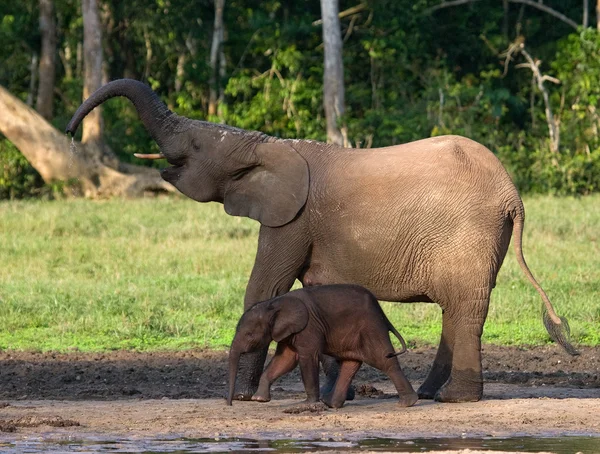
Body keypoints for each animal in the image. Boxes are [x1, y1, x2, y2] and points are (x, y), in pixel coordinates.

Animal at [225, 284, 418, 408]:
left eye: (249, 335)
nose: (230, 404)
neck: (273, 303)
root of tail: (382, 312)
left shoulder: (309, 327)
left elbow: (306, 358)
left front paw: (308, 404)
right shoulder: (290, 332)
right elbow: (285, 360)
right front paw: (259, 399)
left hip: (371, 328)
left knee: (384, 360)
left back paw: (406, 403)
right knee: (350, 364)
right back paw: (331, 404)